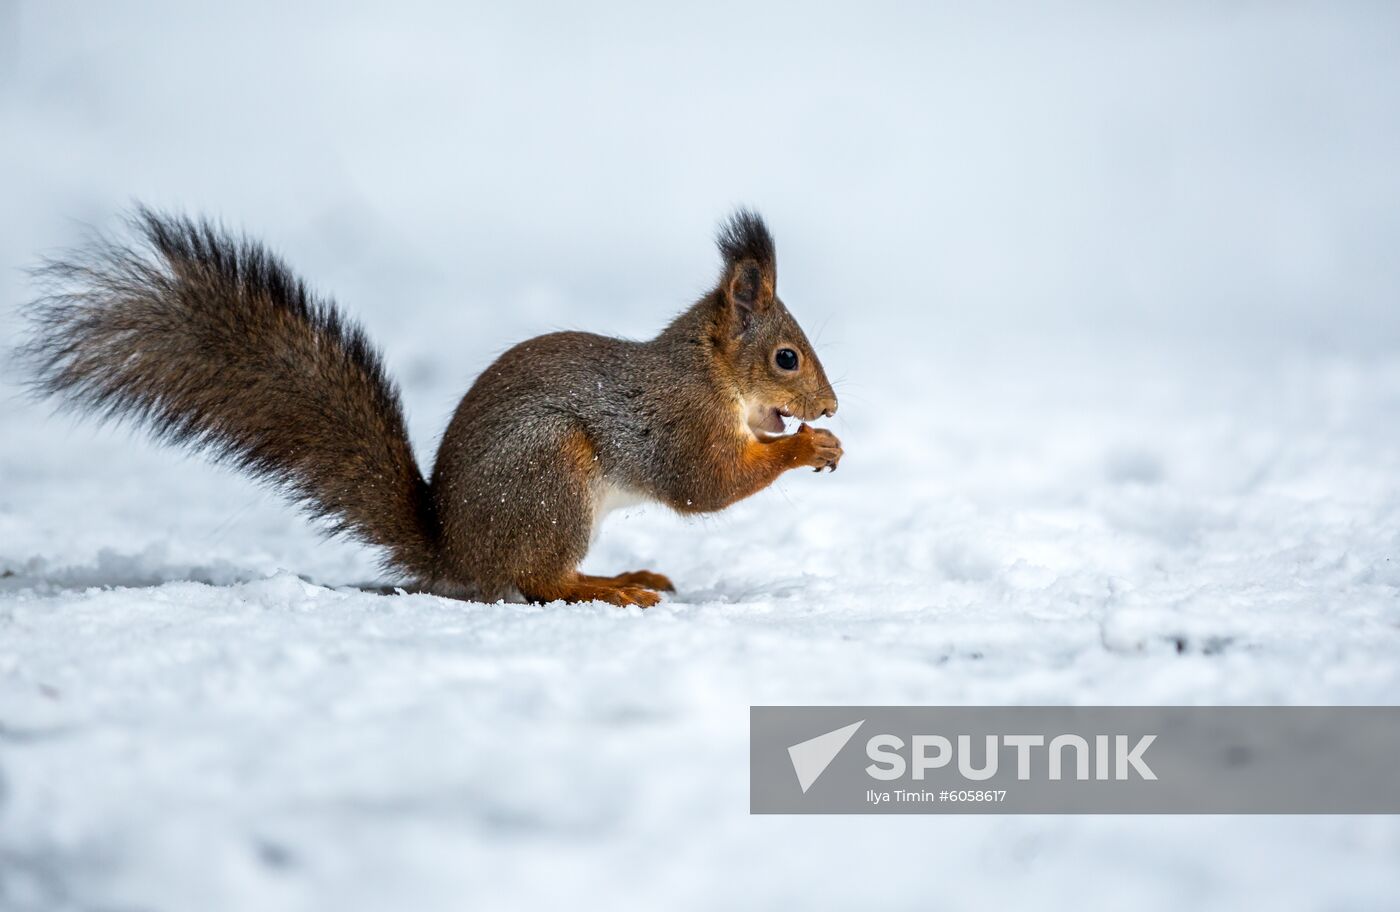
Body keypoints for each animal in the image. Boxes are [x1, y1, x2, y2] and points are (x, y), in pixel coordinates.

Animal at [19, 207, 840, 605]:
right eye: (787, 358)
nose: (830, 407)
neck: (708, 375)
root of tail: (454, 554)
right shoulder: (675, 424)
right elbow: (705, 486)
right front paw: (808, 448)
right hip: (550, 475)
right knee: (538, 583)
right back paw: (611, 589)